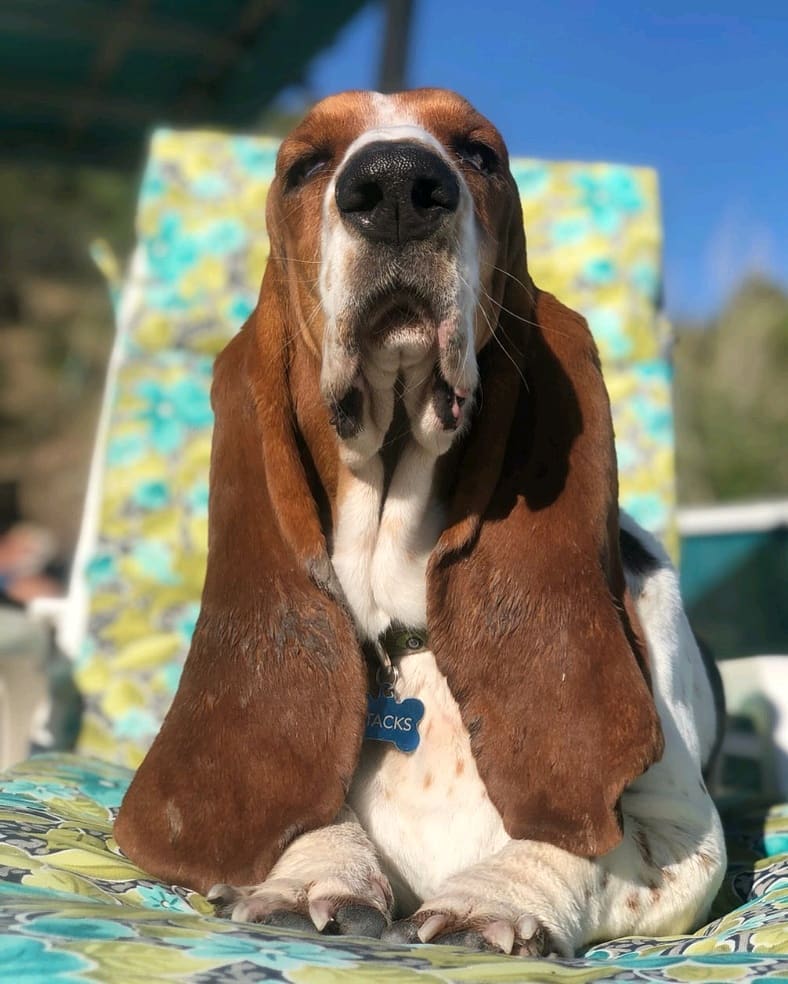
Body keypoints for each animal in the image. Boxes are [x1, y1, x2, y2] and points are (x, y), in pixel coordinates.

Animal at [114, 88, 724, 956]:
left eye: (480, 154)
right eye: (303, 164)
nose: (399, 185)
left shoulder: (685, 836)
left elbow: (582, 842)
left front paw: (492, 901)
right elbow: (310, 811)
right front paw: (313, 877)